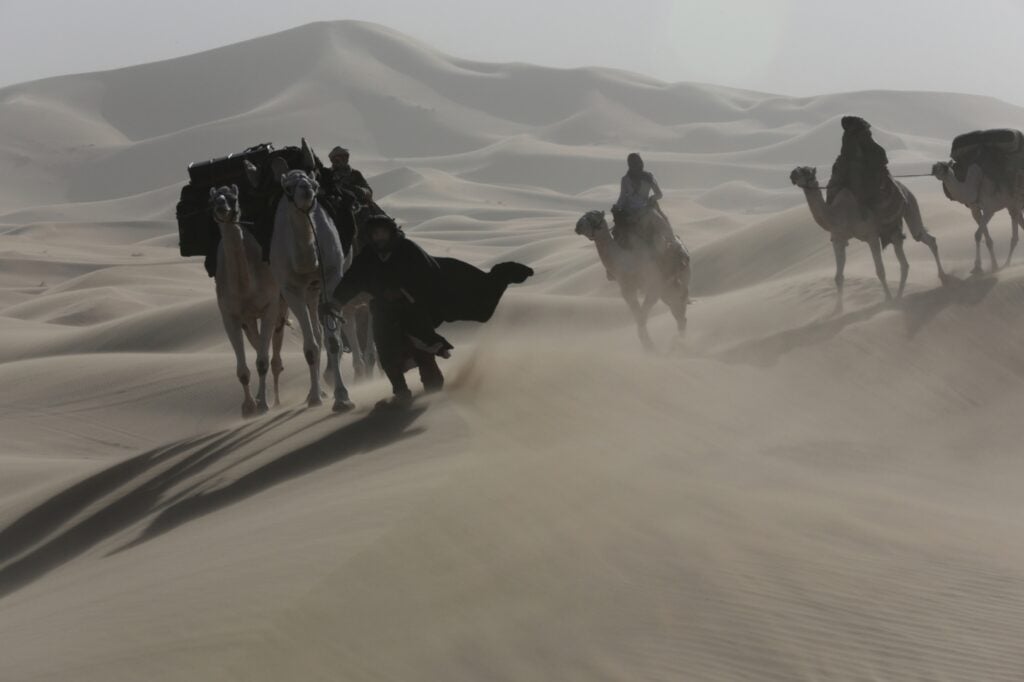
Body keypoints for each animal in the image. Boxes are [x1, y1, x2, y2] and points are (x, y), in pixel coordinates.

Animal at [209, 183, 286, 413]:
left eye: (233, 198)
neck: (245, 287)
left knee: (274, 355)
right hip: (250, 320)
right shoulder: (230, 316)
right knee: (261, 346)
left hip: (281, 307)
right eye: (212, 200)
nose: (221, 207)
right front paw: (249, 407)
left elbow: (262, 362)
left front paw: (263, 406)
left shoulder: (270, 306)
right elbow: (243, 370)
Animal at [272, 168, 356, 409]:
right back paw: (315, 392)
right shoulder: (290, 289)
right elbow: (310, 347)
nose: (306, 190)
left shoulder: (333, 277)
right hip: (307, 291)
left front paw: (342, 397)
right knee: (316, 336)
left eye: (315, 185)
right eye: (288, 187)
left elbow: (333, 342)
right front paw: (315, 397)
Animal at [577, 208, 688, 348]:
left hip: (674, 287)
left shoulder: (649, 287)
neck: (622, 260)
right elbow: (639, 316)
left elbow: (641, 317)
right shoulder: (628, 290)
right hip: (668, 291)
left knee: (680, 313)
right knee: (679, 314)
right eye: (584, 216)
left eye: (592, 218)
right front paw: (648, 345)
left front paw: (649, 346)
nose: (577, 226)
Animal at [786, 166, 946, 311]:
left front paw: (887, 299)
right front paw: (838, 309)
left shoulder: (871, 236)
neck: (839, 213)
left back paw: (941, 276)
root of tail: (902, 186)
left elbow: (880, 271)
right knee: (905, 259)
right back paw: (900, 295)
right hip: (894, 229)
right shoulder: (838, 239)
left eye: (806, 171)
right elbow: (838, 277)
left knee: (922, 237)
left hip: (910, 204)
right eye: (798, 168)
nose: (792, 174)